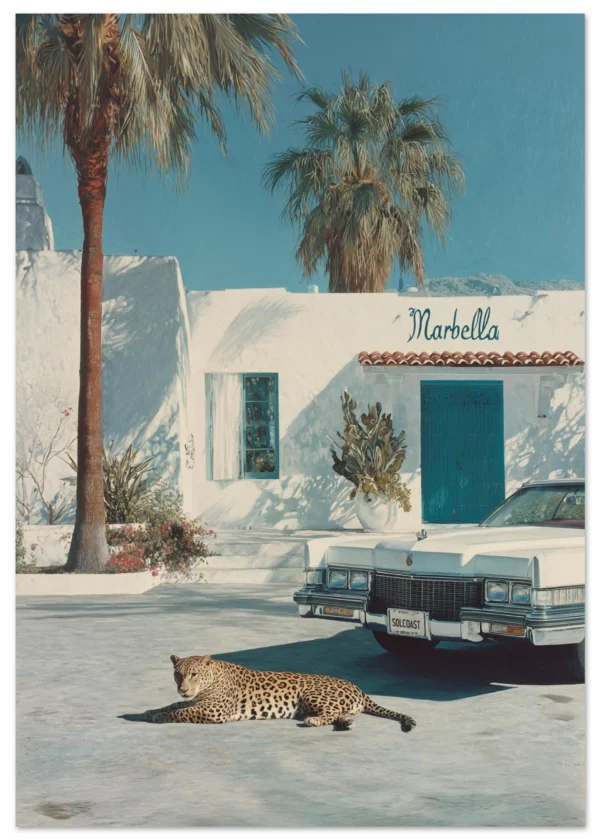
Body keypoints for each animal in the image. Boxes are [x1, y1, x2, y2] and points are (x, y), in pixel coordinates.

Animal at [136, 654, 416, 732]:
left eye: (193, 674)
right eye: (178, 674)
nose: (182, 688)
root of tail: (357, 686)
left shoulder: (213, 711)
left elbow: (181, 712)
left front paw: (158, 717)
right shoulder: (198, 702)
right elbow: (174, 705)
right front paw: (149, 711)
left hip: (311, 694)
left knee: (332, 711)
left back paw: (313, 720)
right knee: (346, 715)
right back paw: (346, 723)